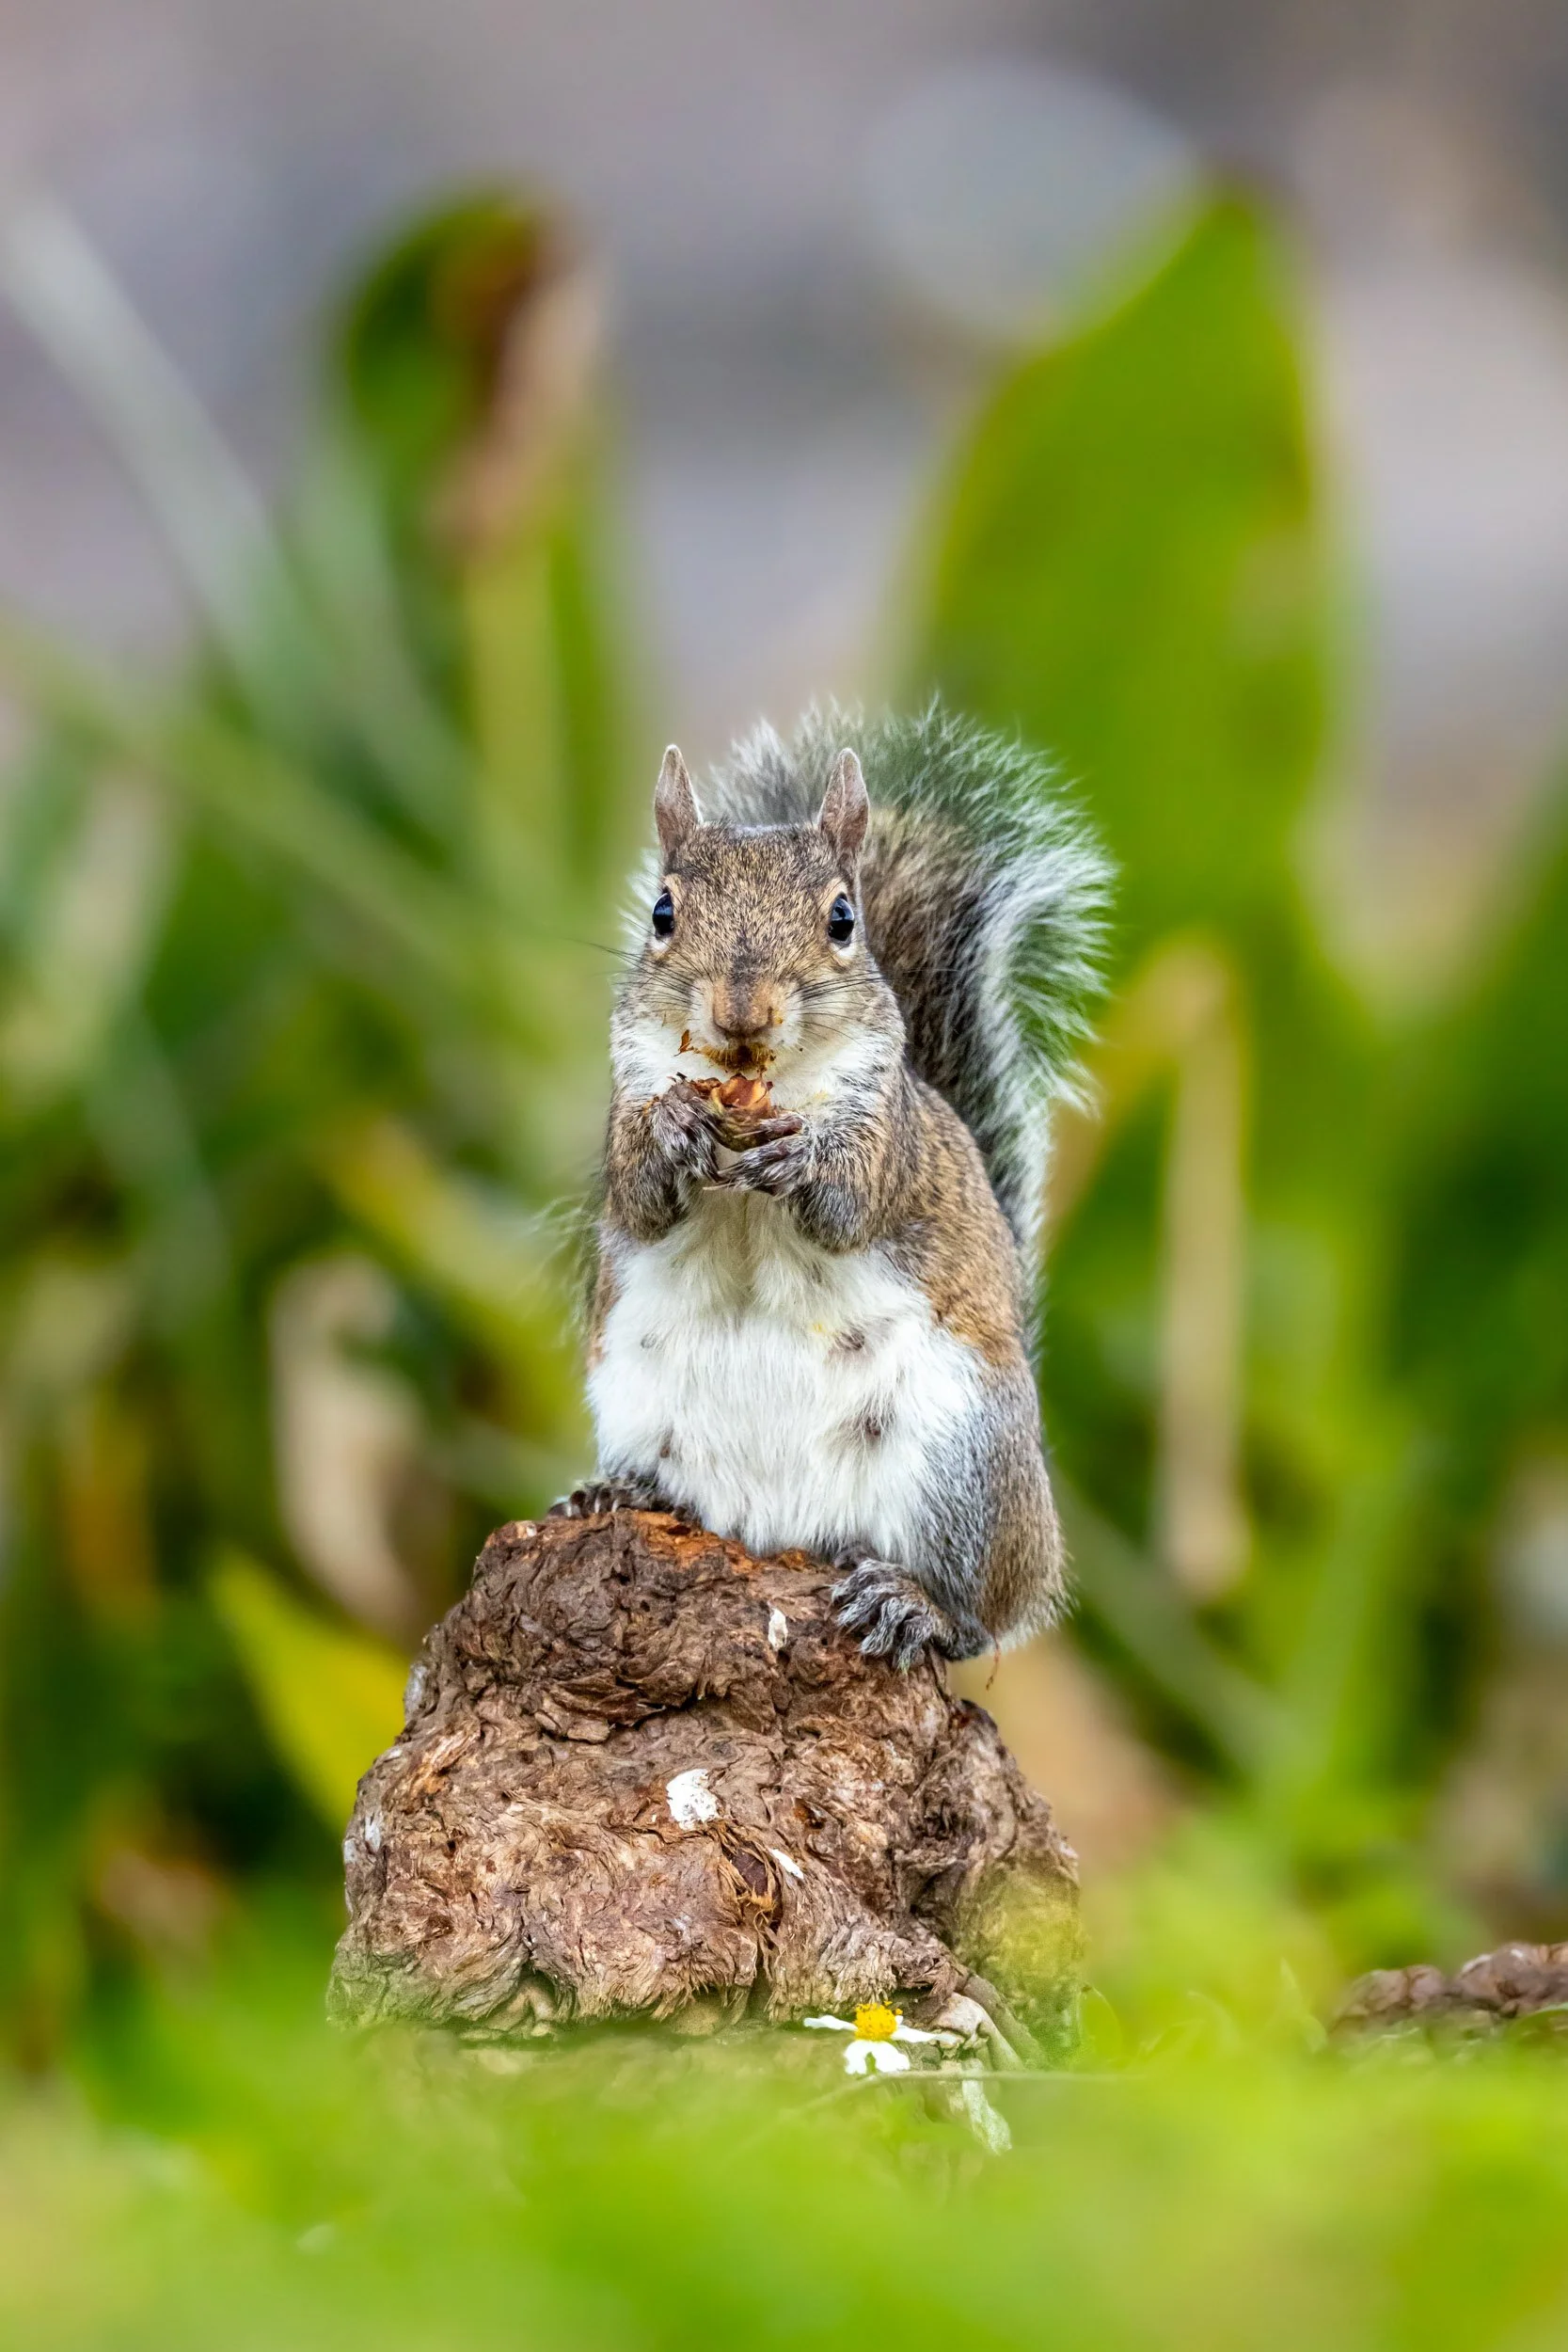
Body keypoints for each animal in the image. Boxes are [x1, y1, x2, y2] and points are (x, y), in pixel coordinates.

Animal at [560, 702, 1107, 1668]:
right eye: (662, 912)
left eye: (843, 919)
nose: (742, 1013)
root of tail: (777, 1526)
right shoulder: (624, 1100)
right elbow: (639, 1193)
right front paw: (676, 1131)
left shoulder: (884, 1134)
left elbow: (848, 1204)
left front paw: (800, 1160)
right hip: (632, 1402)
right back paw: (616, 1493)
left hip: (962, 1463)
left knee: (979, 1622)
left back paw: (915, 1604)